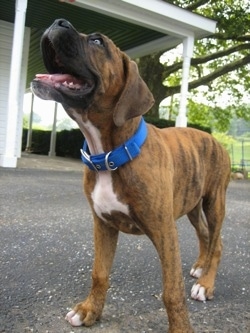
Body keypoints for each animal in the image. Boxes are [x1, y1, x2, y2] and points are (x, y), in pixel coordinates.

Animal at [31, 18, 230, 332]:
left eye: (97, 41)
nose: (58, 21)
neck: (109, 155)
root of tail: (214, 139)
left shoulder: (164, 230)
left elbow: (171, 291)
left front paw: (181, 327)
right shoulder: (103, 225)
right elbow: (99, 273)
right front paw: (89, 310)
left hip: (214, 202)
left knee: (217, 242)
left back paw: (206, 284)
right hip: (192, 205)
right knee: (205, 235)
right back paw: (201, 267)